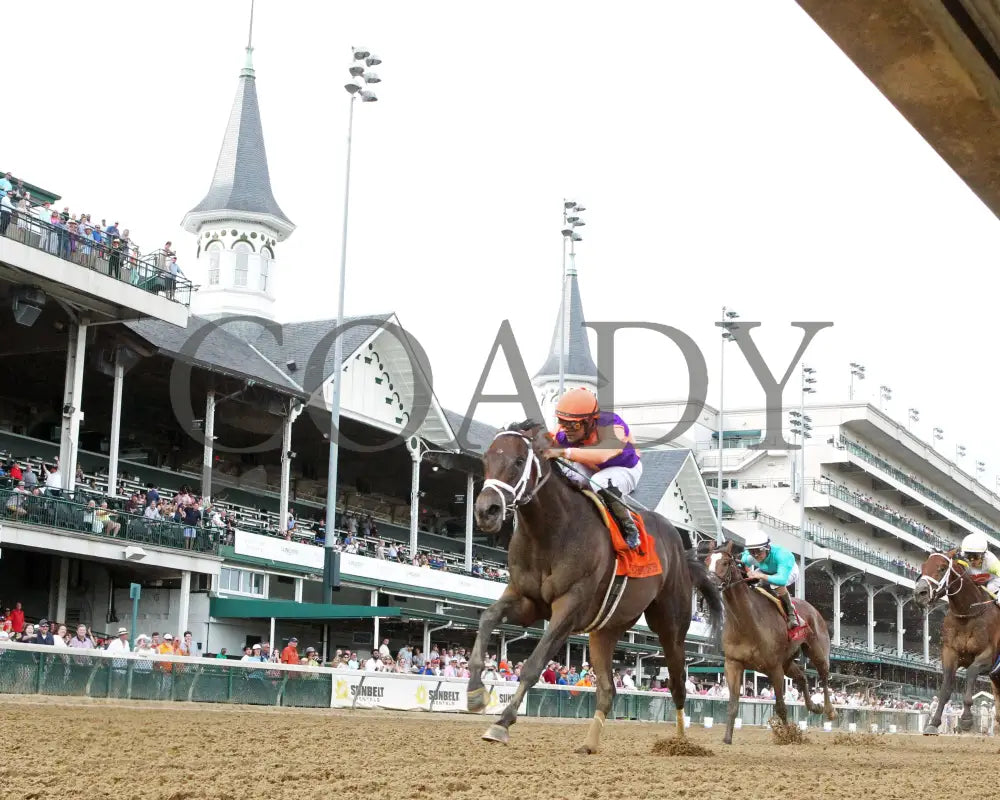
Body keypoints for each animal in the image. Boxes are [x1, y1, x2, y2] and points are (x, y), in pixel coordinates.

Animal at [464, 422, 724, 752]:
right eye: (486, 459)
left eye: (519, 461)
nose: (487, 511)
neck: (550, 533)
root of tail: (681, 546)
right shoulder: (526, 600)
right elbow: (487, 618)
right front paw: (475, 693)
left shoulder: (569, 606)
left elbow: (534, 664)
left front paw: (502, 722)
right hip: (606, 629)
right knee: (608, 689)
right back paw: (589, 742)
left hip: (670, 624)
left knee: (678, 684)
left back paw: (680, 743)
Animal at [704, 540, 836, 748]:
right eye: (706, 561)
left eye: (725, 562)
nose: (708, 584)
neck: (747, 623)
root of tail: (814, 610)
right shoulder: (733, 664)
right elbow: (733, 704)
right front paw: (727, 738)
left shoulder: (774, 668)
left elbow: (781, 706)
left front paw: (789, 735)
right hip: (787, 662)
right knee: (803, 678)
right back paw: (814, 706)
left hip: (817, 652)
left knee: (823, 677)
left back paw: (829, 710)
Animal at [916, 552, 1000, 736]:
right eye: (923, 566)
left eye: (942, 568)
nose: (919, 593)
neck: (968, 614)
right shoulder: (950, 653)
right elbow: (945, 689)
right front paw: (933, 723)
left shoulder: (988, 656)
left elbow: (971, 672)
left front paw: (966, 719)